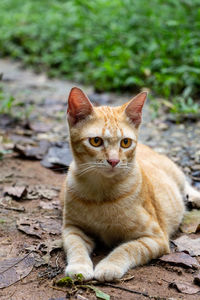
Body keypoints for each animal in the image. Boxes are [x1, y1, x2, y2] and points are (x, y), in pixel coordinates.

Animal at [60, 86, 200, 282]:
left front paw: (109, 266)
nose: (113, 161)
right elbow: (75, 246)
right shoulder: (72, 228)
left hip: (174, 173)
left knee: (185, 184)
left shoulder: (155, 238)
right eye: (96, 141)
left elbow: (127, 248)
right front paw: (79, 266)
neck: (101, 192)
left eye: (125, 142)